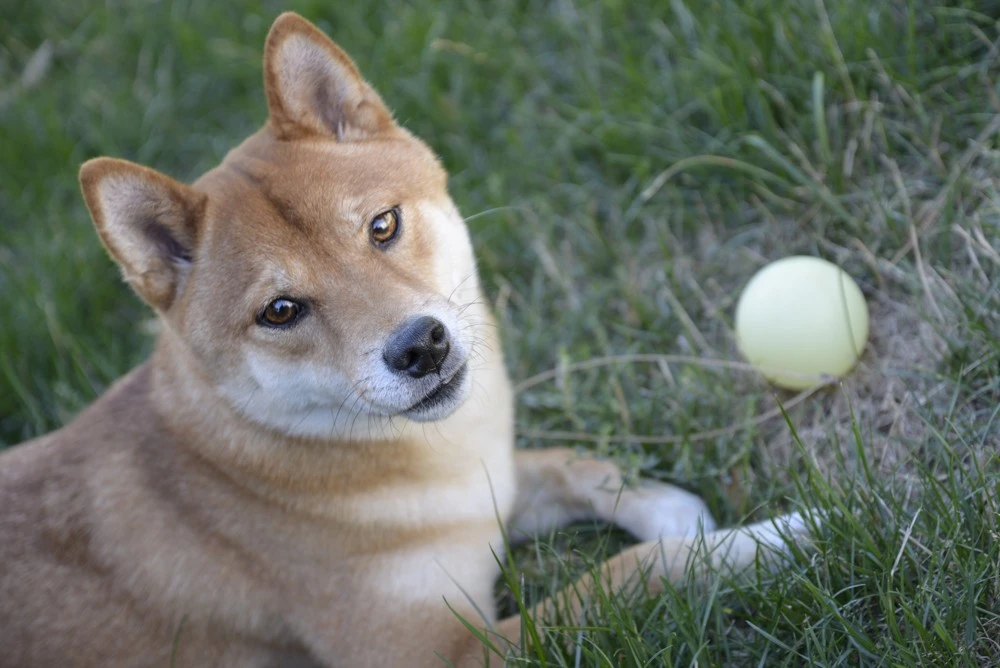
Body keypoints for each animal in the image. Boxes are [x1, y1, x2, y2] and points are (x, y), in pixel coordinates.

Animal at [0, 13, 812, 664]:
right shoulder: (446, 651)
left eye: (382, 225)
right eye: (281, 310)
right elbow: (629, 575)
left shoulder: (483, 490)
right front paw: (771, 539)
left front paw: (667, 506)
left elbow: (565, 463)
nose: (421, 346)